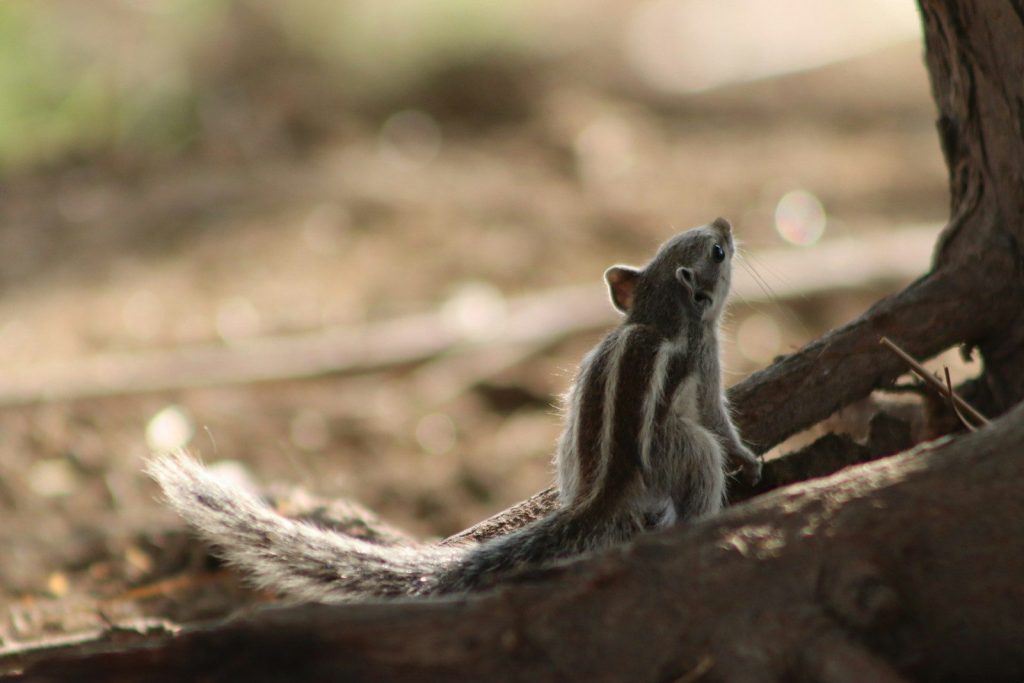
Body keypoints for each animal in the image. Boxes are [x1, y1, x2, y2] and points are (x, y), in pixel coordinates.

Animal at [149, 217, 762, 601]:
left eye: (702, 242)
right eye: (716, 251)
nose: (725, 224)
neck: (654, 317)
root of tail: (600, 494)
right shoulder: (707, 360)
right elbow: (717, 417)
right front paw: (748, 457)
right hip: (684, 449)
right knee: (700, 467)